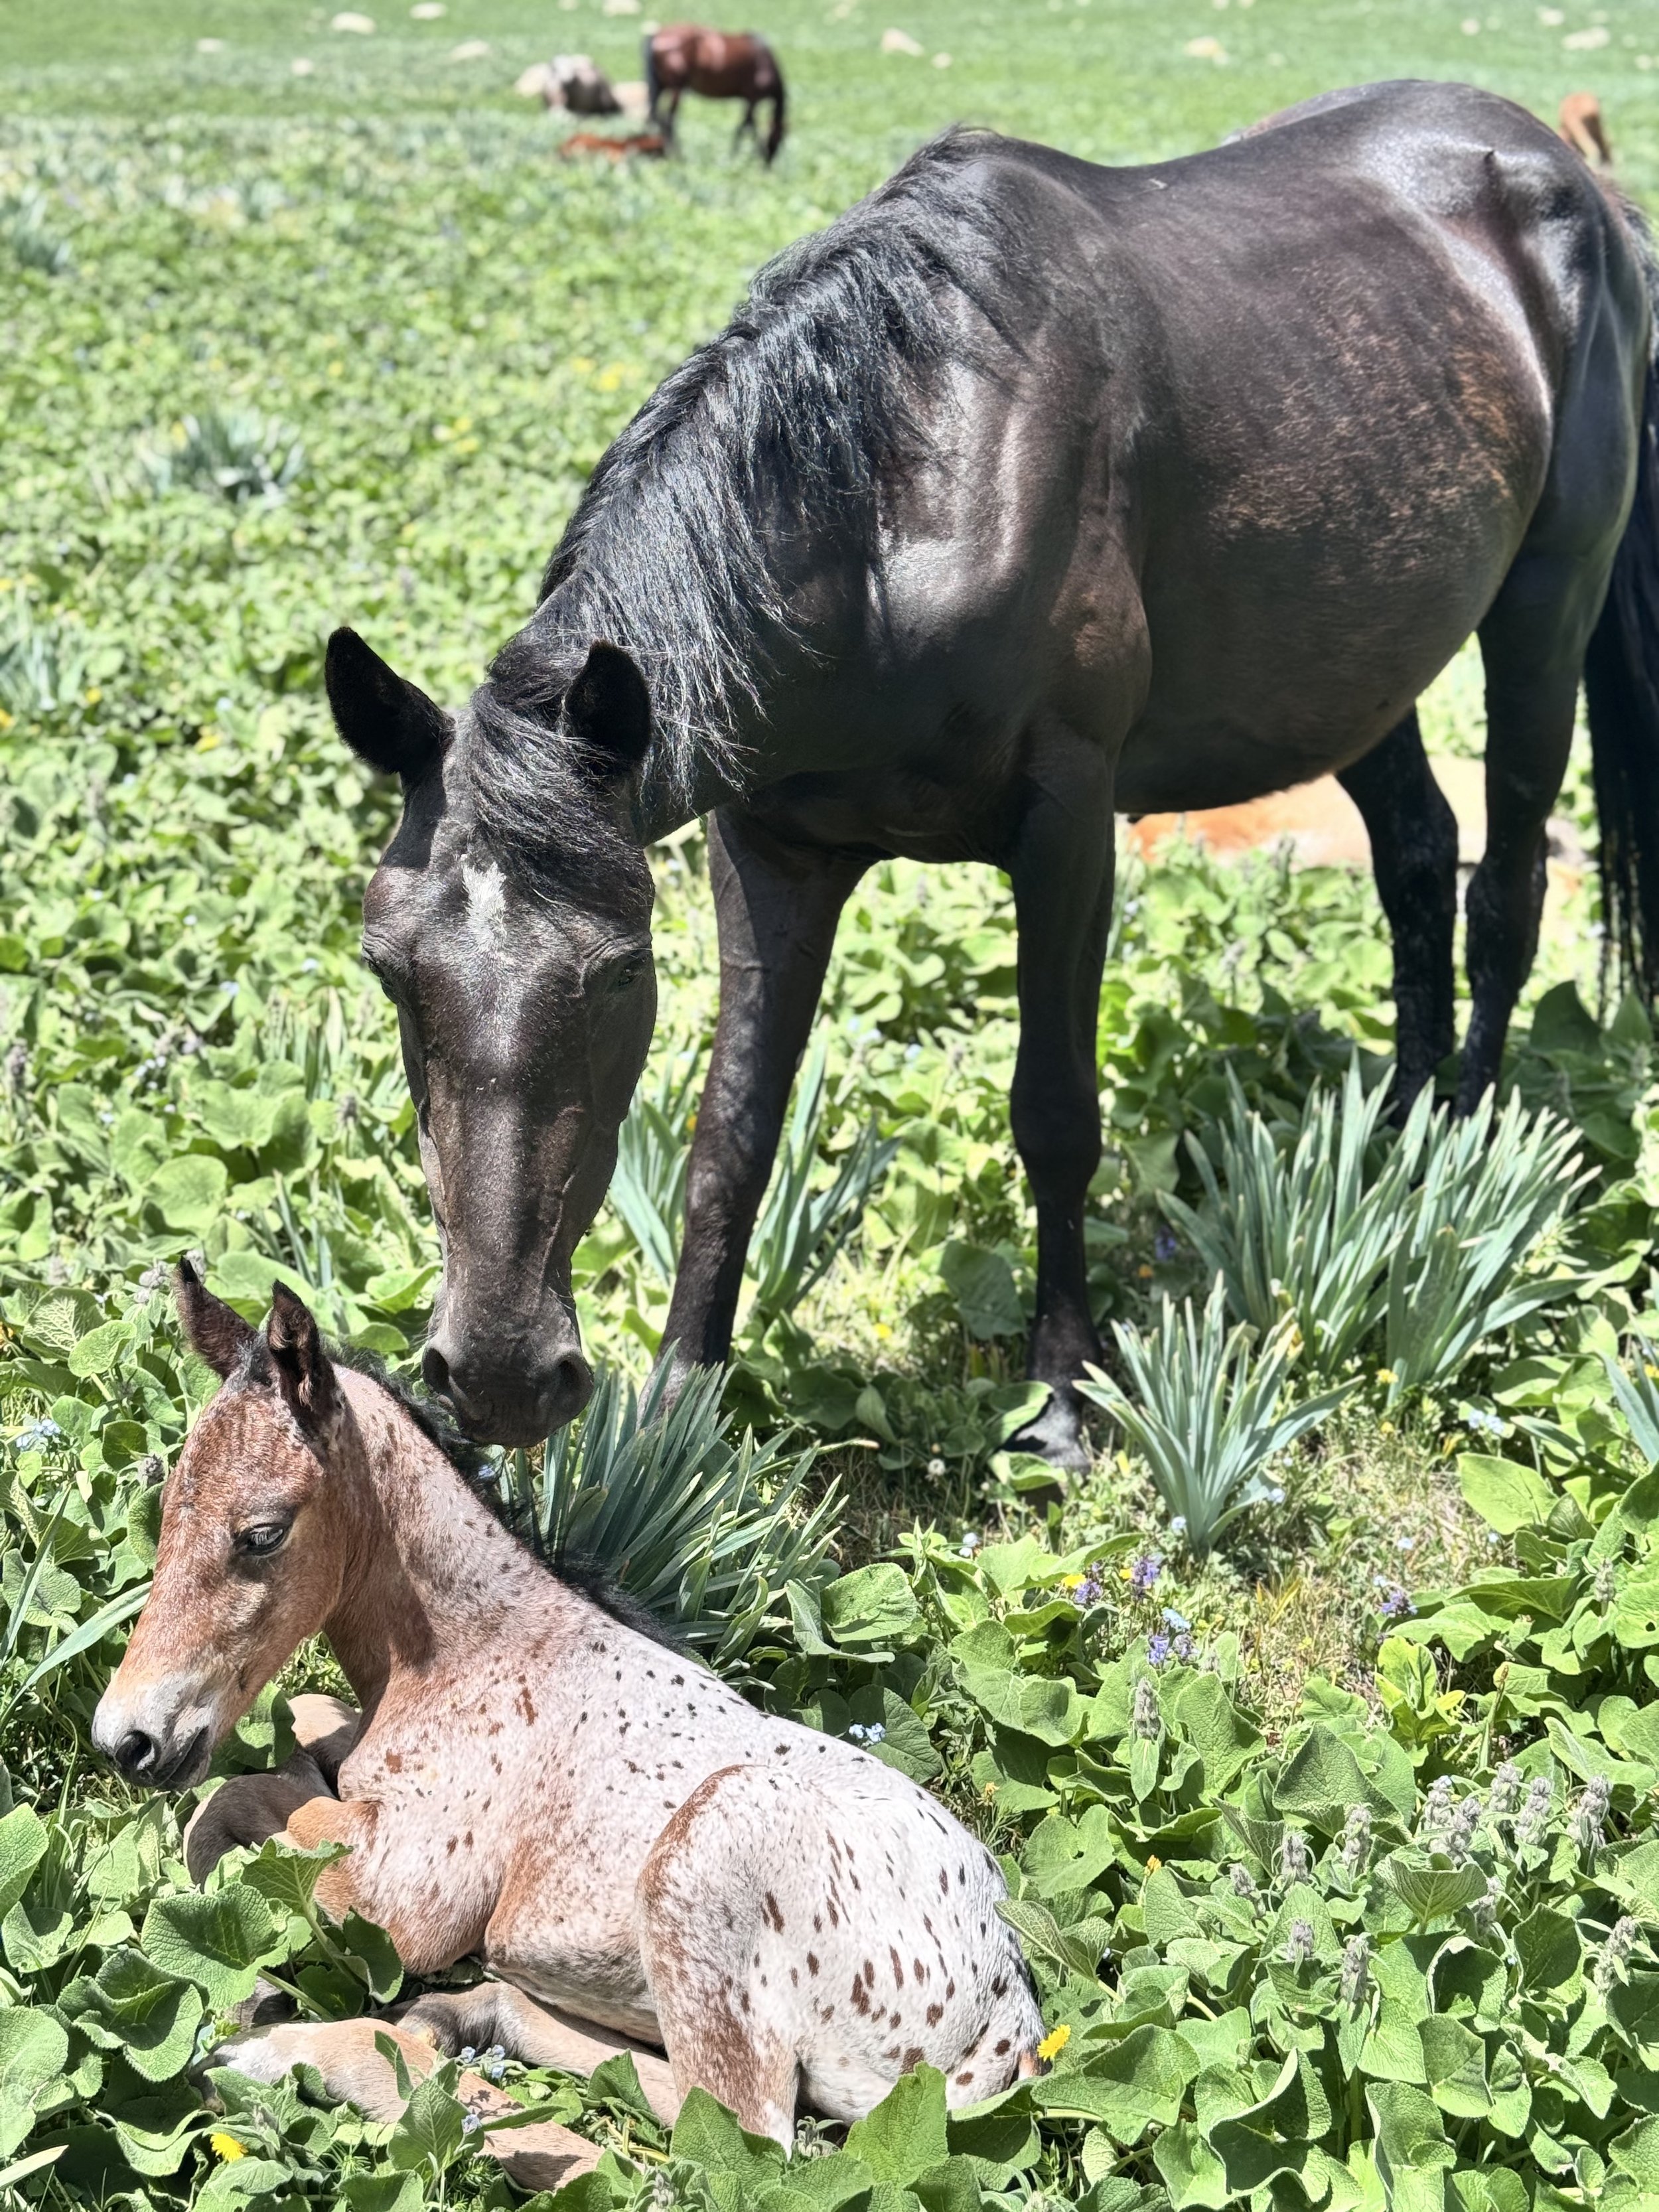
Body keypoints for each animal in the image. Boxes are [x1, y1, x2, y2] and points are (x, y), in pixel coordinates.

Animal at [90, 1265, 1045, 2157]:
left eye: (262, 1534)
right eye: (165, 1510)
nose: (128, 1740)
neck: (475, 1650)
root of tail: (1008, 2022)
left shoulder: (406, 1899)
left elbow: (254, 1811)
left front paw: (244, 1983)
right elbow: (271, 1767)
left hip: (709, 1855)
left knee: (736, 2148)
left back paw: (292, 2056)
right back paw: (464, 2015)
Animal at [320, 82, 1659, 1470]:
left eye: (620, 972)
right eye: (390, 970)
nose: (497, 1374)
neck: (896, 515)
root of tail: (1574, 181)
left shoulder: (1068, 833)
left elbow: (1054, 1114)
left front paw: (1062, 1397)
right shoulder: (770, 851)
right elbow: (732, 1128)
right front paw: (682, 1412)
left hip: (1546, 609)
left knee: (1505, 882)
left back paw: (1461, 1150)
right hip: (1344, 663)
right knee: (1416, 854)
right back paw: (1392, 1142)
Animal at [644, 24, 786, 164]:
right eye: (780, 138)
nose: (769, 162)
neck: (765, 63)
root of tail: (655, 36)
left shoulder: (748, 99)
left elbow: (745, 125)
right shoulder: (753, 98)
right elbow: (746, 127)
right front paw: (738, 156)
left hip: (662, 87)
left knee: (654, 116)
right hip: (676, 88)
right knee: (668, 120)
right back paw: (677, 155)